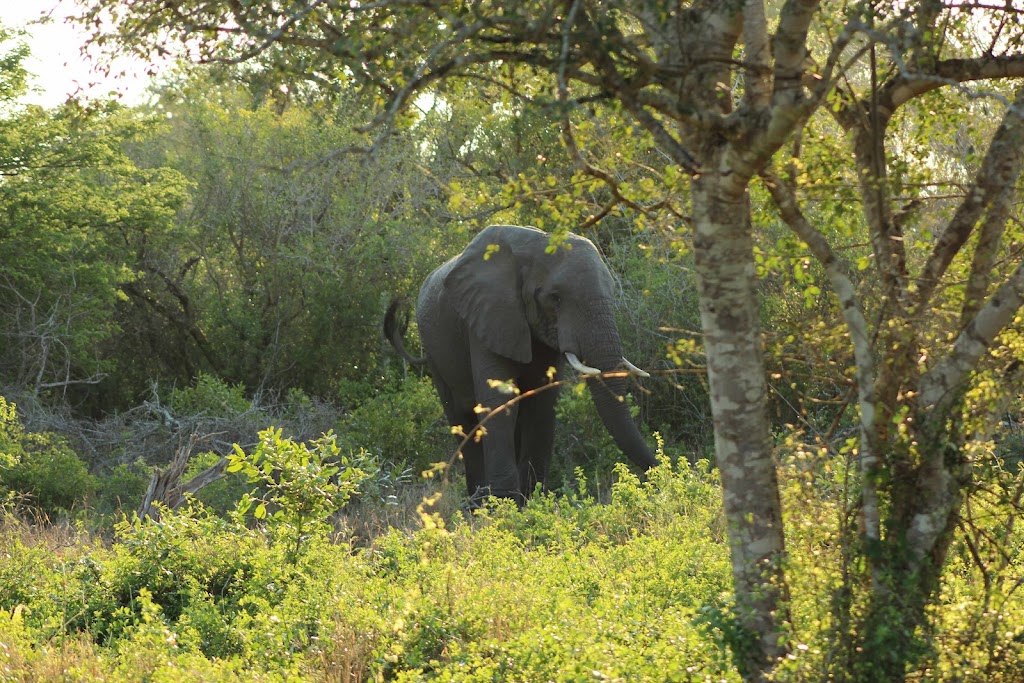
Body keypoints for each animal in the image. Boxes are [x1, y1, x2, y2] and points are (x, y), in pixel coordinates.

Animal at [384, 224, 656, 505]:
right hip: (434, 350)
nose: (659, 471)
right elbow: (500, 401)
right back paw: (477, 503)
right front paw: (504, 505)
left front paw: (533, 500)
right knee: (460, 419)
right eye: (555, 298)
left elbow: (543, 403)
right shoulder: (487, 317)